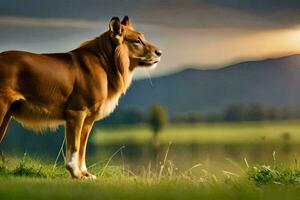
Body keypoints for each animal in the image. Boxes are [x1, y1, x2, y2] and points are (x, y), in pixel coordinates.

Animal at [0, 16, 162, 180]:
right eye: (137, 41)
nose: (160, 52)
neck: (104, 63)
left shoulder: (88, 119)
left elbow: (83, 148)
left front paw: (85, 173)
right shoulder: (76, 112)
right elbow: (75, 146)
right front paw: (76, 173)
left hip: (6, 116)